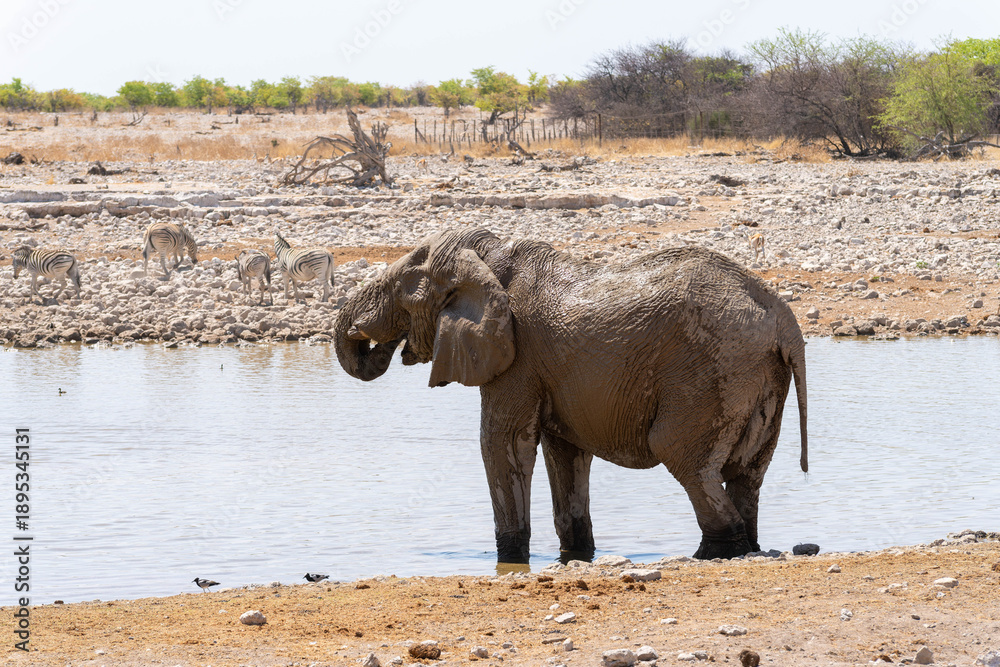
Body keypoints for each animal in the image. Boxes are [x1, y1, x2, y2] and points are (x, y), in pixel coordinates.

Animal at [334, 228, 808, 562]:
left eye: (403, 287)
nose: (369, 339)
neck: (487, 258)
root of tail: (783, 318)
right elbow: (564, 453)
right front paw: (576, 554)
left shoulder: (518, 358)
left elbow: (502, 444)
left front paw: (511, 557)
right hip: (761, 376)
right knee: (748, 470)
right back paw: (746, 544)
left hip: (713, 369)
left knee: (683, 456)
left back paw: (713, 552)